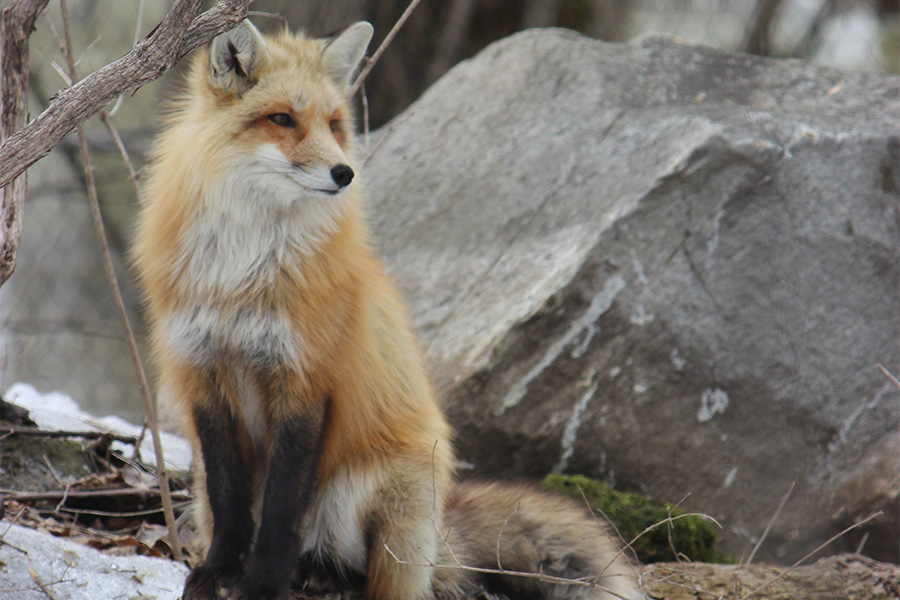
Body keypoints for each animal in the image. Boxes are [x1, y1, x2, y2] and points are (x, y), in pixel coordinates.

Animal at [132, 18, 640, 600]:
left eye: (334, 124)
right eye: (282, 119)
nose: (344, 172)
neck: (241, 271)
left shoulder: (305, 382)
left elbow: (281, 513)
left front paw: (262, 585)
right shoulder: (204, 376)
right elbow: (230, 500)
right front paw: (218, 573)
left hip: (378, 489)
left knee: (368, 572)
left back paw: (322, 575)